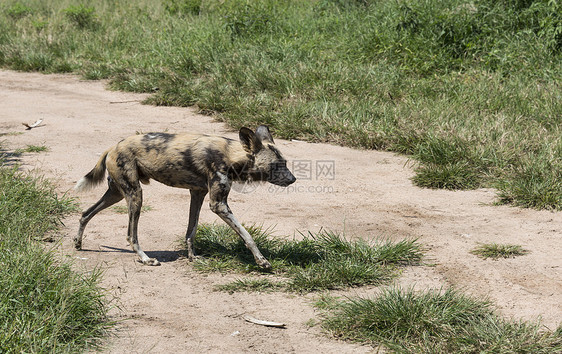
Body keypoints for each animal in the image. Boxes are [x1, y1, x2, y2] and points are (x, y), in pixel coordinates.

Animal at [73, 125, 298, 268]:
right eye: (276, 166)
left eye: (285, 163)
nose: (293, 179)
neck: (232, 155)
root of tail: (112, 147)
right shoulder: (218, 204)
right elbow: (247, 235)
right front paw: (261, 261)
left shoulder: (197, 194)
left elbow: (191, 231)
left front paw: (192, 257)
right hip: (135, 195)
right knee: (131, 234)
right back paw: (146, 259)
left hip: (117, 194)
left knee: (86, 213)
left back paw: (77, 243)